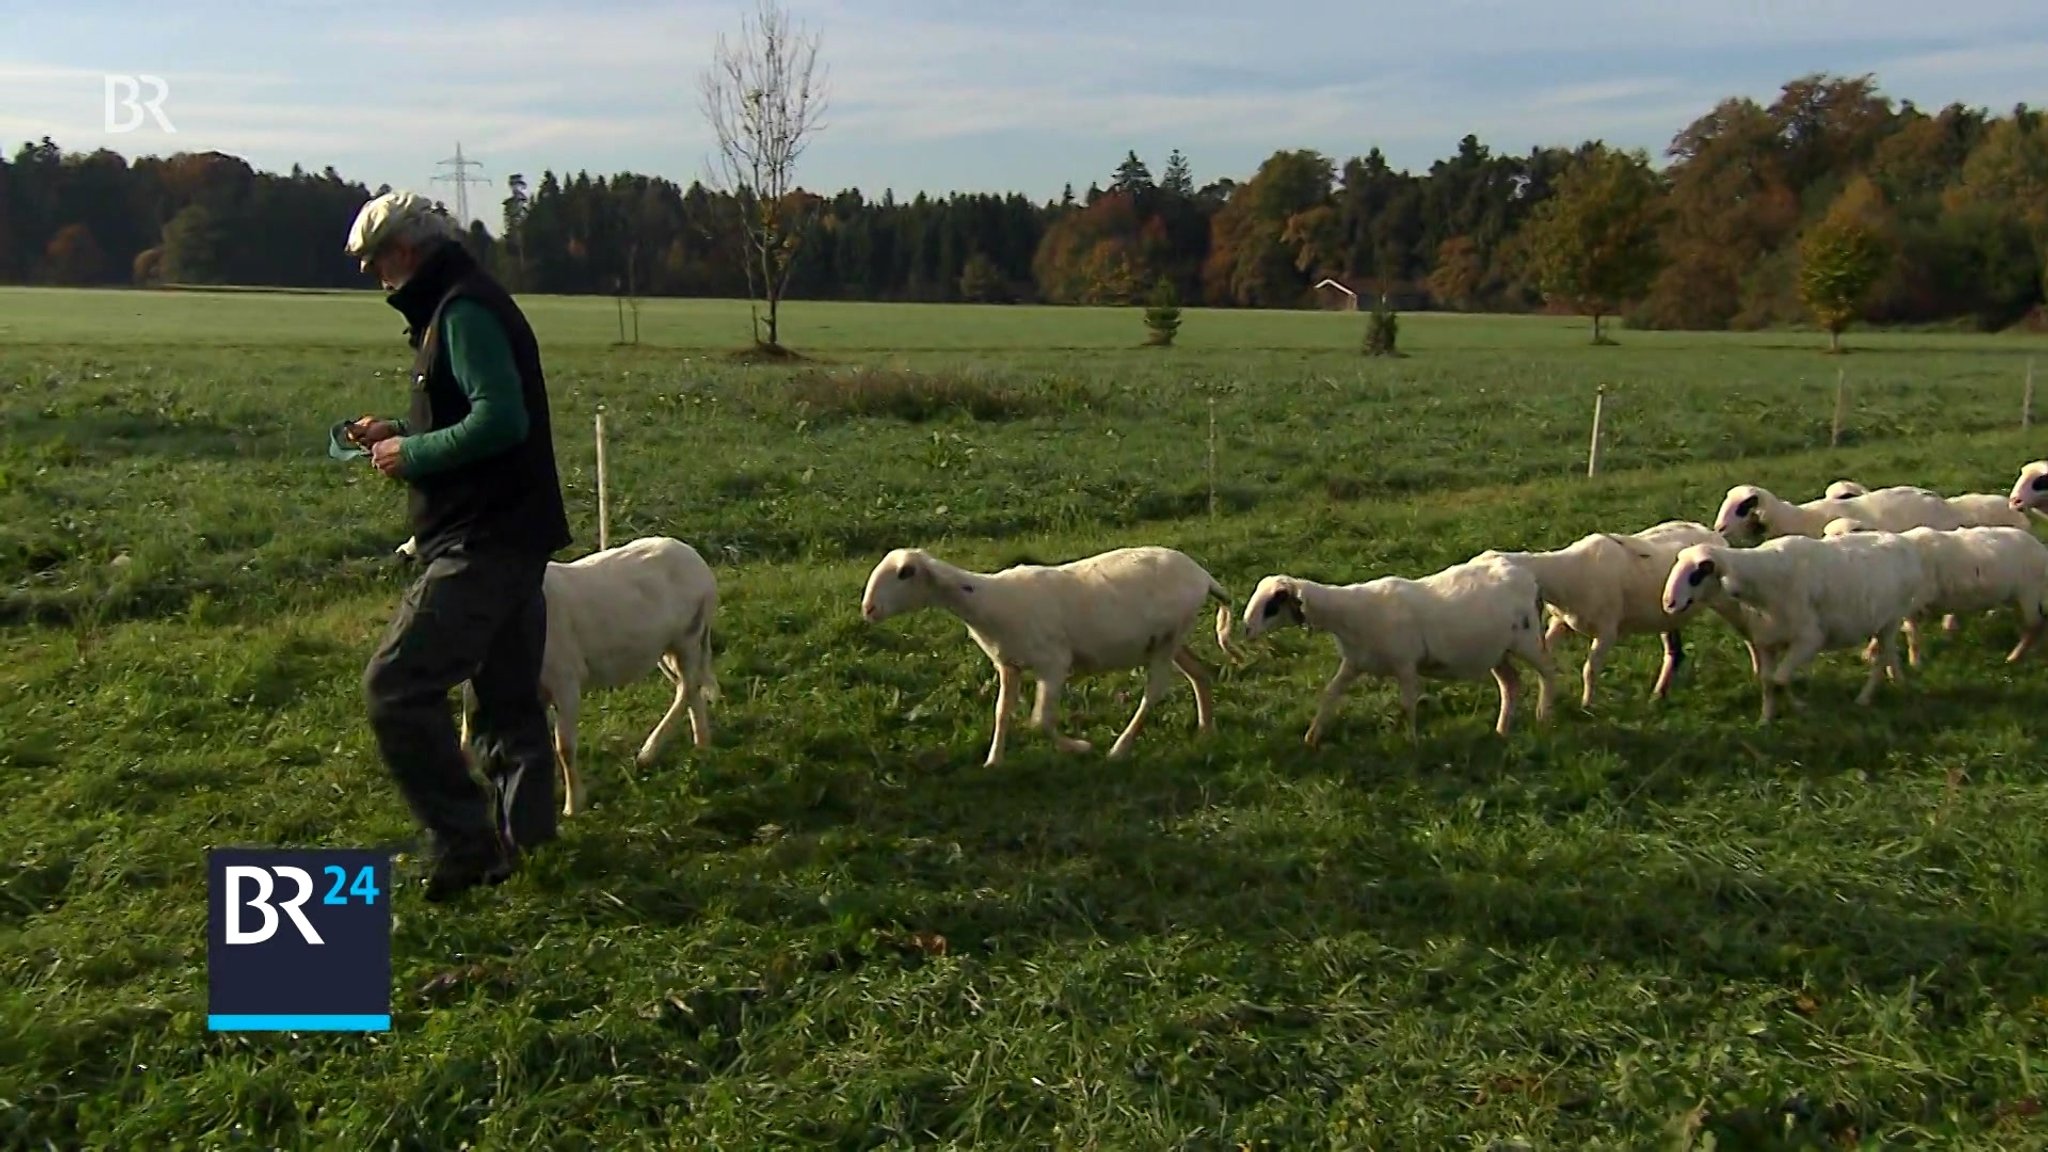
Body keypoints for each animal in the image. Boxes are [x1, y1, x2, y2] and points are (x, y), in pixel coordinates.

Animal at [456, 532, 720, 811]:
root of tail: (692, 554)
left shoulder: (566, 680)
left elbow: (564, 747)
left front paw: (573, 805)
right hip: (667, 648)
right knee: (690, 687)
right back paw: (701, 745)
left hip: (688, 634)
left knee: (687, 687)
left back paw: (648, 752)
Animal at [860, 545, 1236, 766]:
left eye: (905, 573)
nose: (868, 609)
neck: (987, 601)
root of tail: (1203, 575)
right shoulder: (1008, 664)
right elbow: (1002, 713)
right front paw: (993, 761)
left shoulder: (1053, 665)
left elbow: (1040, 720)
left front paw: (1080, 747)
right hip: (1167, 641)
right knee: (1200, 673)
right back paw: (1206, 729)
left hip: (1168, 640)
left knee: (1154, 692)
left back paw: (1120, 749)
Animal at [1236, 549, 1556, 746]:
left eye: (1273, 604)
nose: (1246, 628)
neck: (1351, 614)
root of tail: (1522, 572)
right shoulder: (1354, 663)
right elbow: (1330, 694)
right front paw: (1312, 737)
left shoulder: (1405, 665)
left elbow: (1407, 705)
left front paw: (1411, 742)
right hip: (1495, 650)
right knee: (1510, 683)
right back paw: (1502, 731)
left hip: (1527, 639)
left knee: (1549, 672)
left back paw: (1543, 717)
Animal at [1474, 516, 1728, 705]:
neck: (1568, 572)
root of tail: (1713, 534)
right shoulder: (1561, 623)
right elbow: (1548, 648)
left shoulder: (1607, 631)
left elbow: (1590, 669)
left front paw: (1586, 705)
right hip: (1667, 616)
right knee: (1674, 652)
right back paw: (1659, 694)